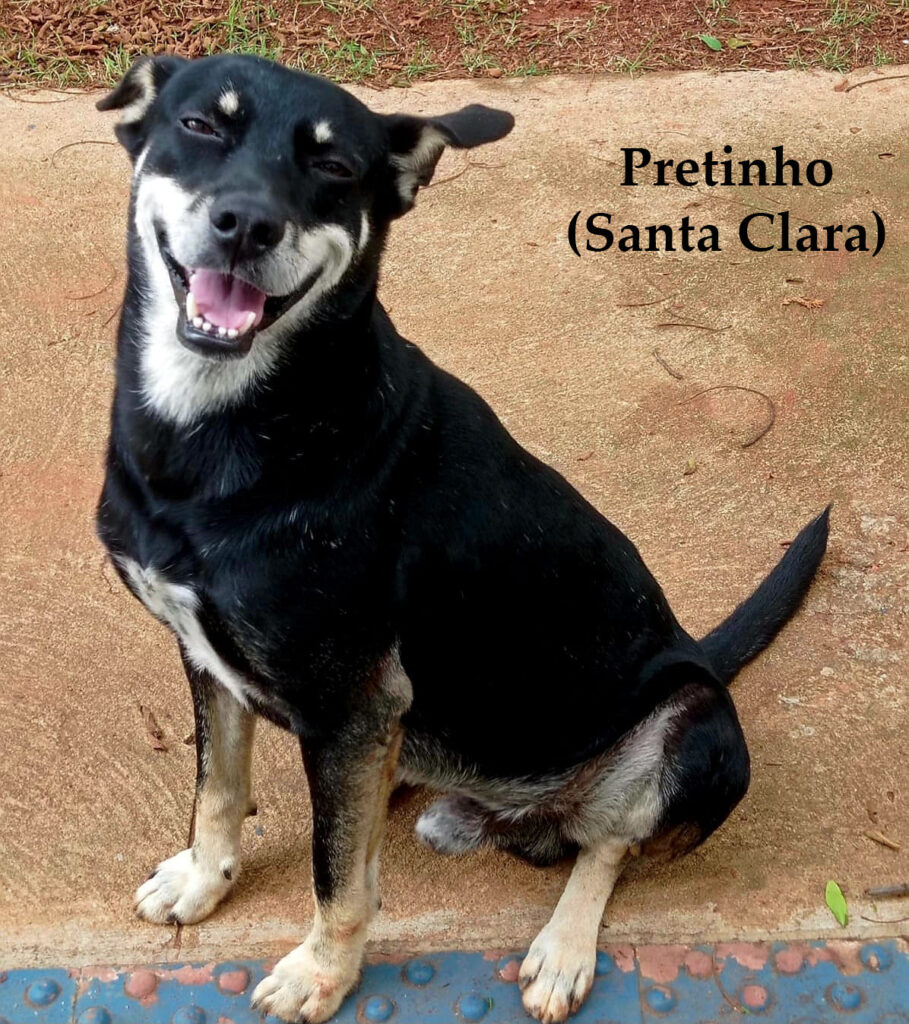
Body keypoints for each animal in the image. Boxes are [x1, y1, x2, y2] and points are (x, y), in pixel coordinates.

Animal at [95, 54, 829, 1024]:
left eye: (335, 168)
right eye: (200, 126)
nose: (246, 225)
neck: (225, 427)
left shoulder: (347, 701)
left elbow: (337, 878)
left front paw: (320, 973)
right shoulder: (211, 656)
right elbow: (218, 787)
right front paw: (204, 880)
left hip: (695, 725)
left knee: (609, 845)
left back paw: (562, 949)